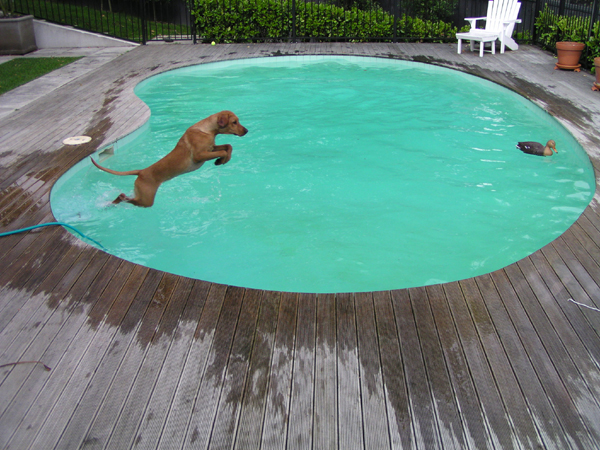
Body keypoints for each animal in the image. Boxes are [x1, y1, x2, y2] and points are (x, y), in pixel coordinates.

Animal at [89, 110, 248, 207]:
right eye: (234, 122)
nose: (246, 131)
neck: (207, 129)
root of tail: (141, 171)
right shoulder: (200, 155)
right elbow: (223, 151)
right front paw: (221, 159)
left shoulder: (210, 148)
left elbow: (228, 146)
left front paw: (223, 160)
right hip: (146, 199)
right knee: (127, 199)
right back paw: (120, 198)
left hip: (140, 194)